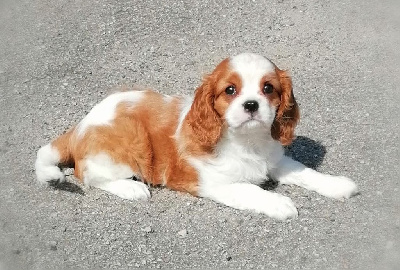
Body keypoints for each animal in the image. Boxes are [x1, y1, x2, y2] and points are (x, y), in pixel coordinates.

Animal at [36, 52, 358, 219]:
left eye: (268, 88)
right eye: (230, 90)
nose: (251, 105)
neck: (246, 141)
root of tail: (79, 127)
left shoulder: (276, 161)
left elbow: (306, 172)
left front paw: (337, 185)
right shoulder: (215, 182)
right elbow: (251, 190)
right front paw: (279, 203)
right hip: (129, 142)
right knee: (87, 174)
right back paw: (131, 188)